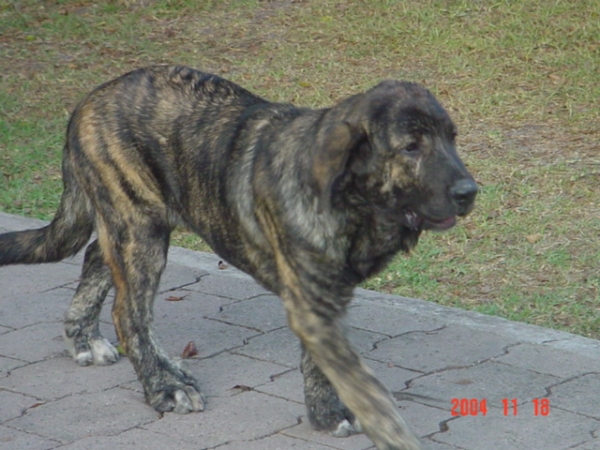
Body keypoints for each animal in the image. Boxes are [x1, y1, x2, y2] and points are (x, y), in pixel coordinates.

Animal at [1, 66, 478, 450]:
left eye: (452, 138)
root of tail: (90, 98)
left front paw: (327, 412)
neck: (355, 203)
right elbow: (360, 383)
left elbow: (322, 363)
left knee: (94, 262)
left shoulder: (324, 301)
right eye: (411, 147)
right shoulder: (310, 302)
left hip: (131, 222)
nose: (469, 192)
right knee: (129, 313)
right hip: (140, 230)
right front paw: (368, 423)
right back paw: (165, 386)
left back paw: (84, 339)